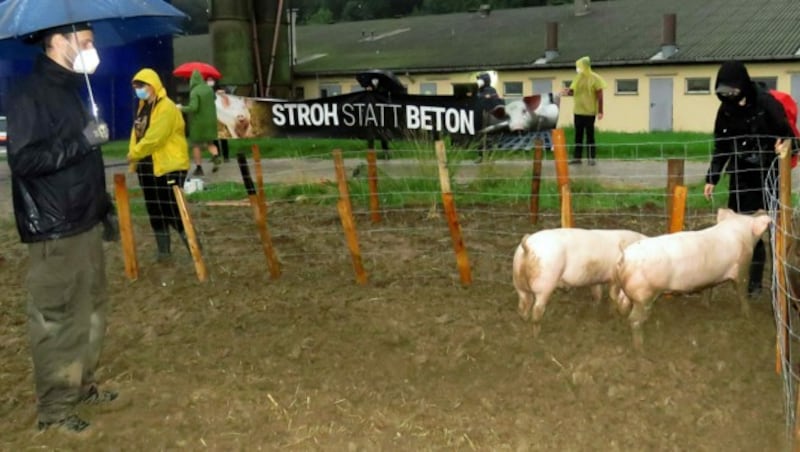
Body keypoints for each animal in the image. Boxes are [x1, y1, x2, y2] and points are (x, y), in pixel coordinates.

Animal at [512, 228, 648, 338]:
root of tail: (527, 246)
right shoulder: (614, 277)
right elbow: (614, 296)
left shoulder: (595, 279)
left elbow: (597, 293)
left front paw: (595, 307)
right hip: (544, 283)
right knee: (537, 310)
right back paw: (537, 335)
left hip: (518, 281)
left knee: (522, 307)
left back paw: (524, 323)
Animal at [616, 208, 772, 354]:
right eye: (751, 216)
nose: (762, 210)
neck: (739, 233)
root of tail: (625, 258)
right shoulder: (743, 265)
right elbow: (742, 292)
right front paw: (748, 315)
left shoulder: (710, 276)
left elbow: (708, 289)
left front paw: (706, 306)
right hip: (644, 294)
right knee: (634, 319)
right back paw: (641, 349)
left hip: (629, 290)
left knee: (622, 304)